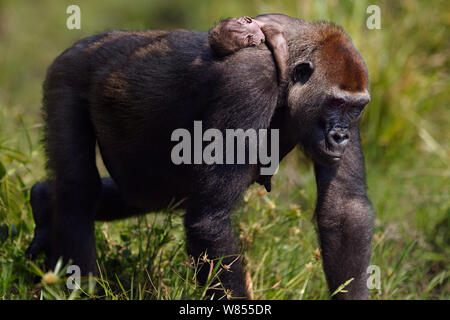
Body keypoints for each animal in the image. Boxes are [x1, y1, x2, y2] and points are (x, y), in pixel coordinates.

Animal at [27, 14, 372, 300]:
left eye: (355, 108)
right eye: (335, 104)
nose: (340, 136)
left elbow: (344, 211)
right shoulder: (251, 81)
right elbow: (210, 220)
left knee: (144, 194)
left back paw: (43, 201)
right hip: (66, 73)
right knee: (79, 190)